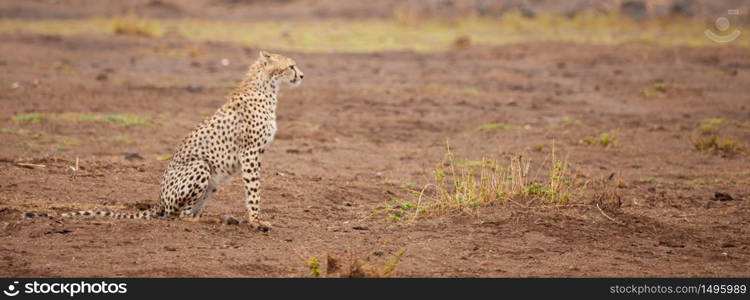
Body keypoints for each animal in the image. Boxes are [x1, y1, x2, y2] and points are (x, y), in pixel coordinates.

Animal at [41, 51, 302, 230]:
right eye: (291, 66)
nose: (301, 75)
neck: (268, 87)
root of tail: (158, 201)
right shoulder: (250, 153)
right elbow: (253, 190)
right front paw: (256, 220)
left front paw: (254, 219)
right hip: (200, 165)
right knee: (179, 216)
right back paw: (212, 218)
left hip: (211, 182)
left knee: (186, 213)